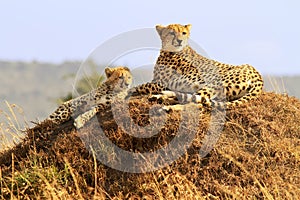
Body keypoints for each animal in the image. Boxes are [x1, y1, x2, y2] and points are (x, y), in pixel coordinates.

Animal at [129, 23, 262, 111]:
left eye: (184, 33)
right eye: (172, 33)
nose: (180, 40)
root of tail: (256, 73)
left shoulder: (160, 83)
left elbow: (139, 86)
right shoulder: (160, 82)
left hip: (214, 84)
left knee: (199, 102)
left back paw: (168, 107)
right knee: (196, 99)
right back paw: (160, 97)